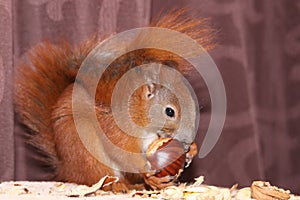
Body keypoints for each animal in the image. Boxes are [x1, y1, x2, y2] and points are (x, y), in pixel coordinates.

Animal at [14, 9, 216, 192]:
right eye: (170, 111)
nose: (187, 142)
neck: (138, 109)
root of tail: (66, 169)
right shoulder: (118, 130)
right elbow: (124, 154)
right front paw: (148, 171)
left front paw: (193, 151)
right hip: (88, 152)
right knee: (102, 178)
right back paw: (120, 185)